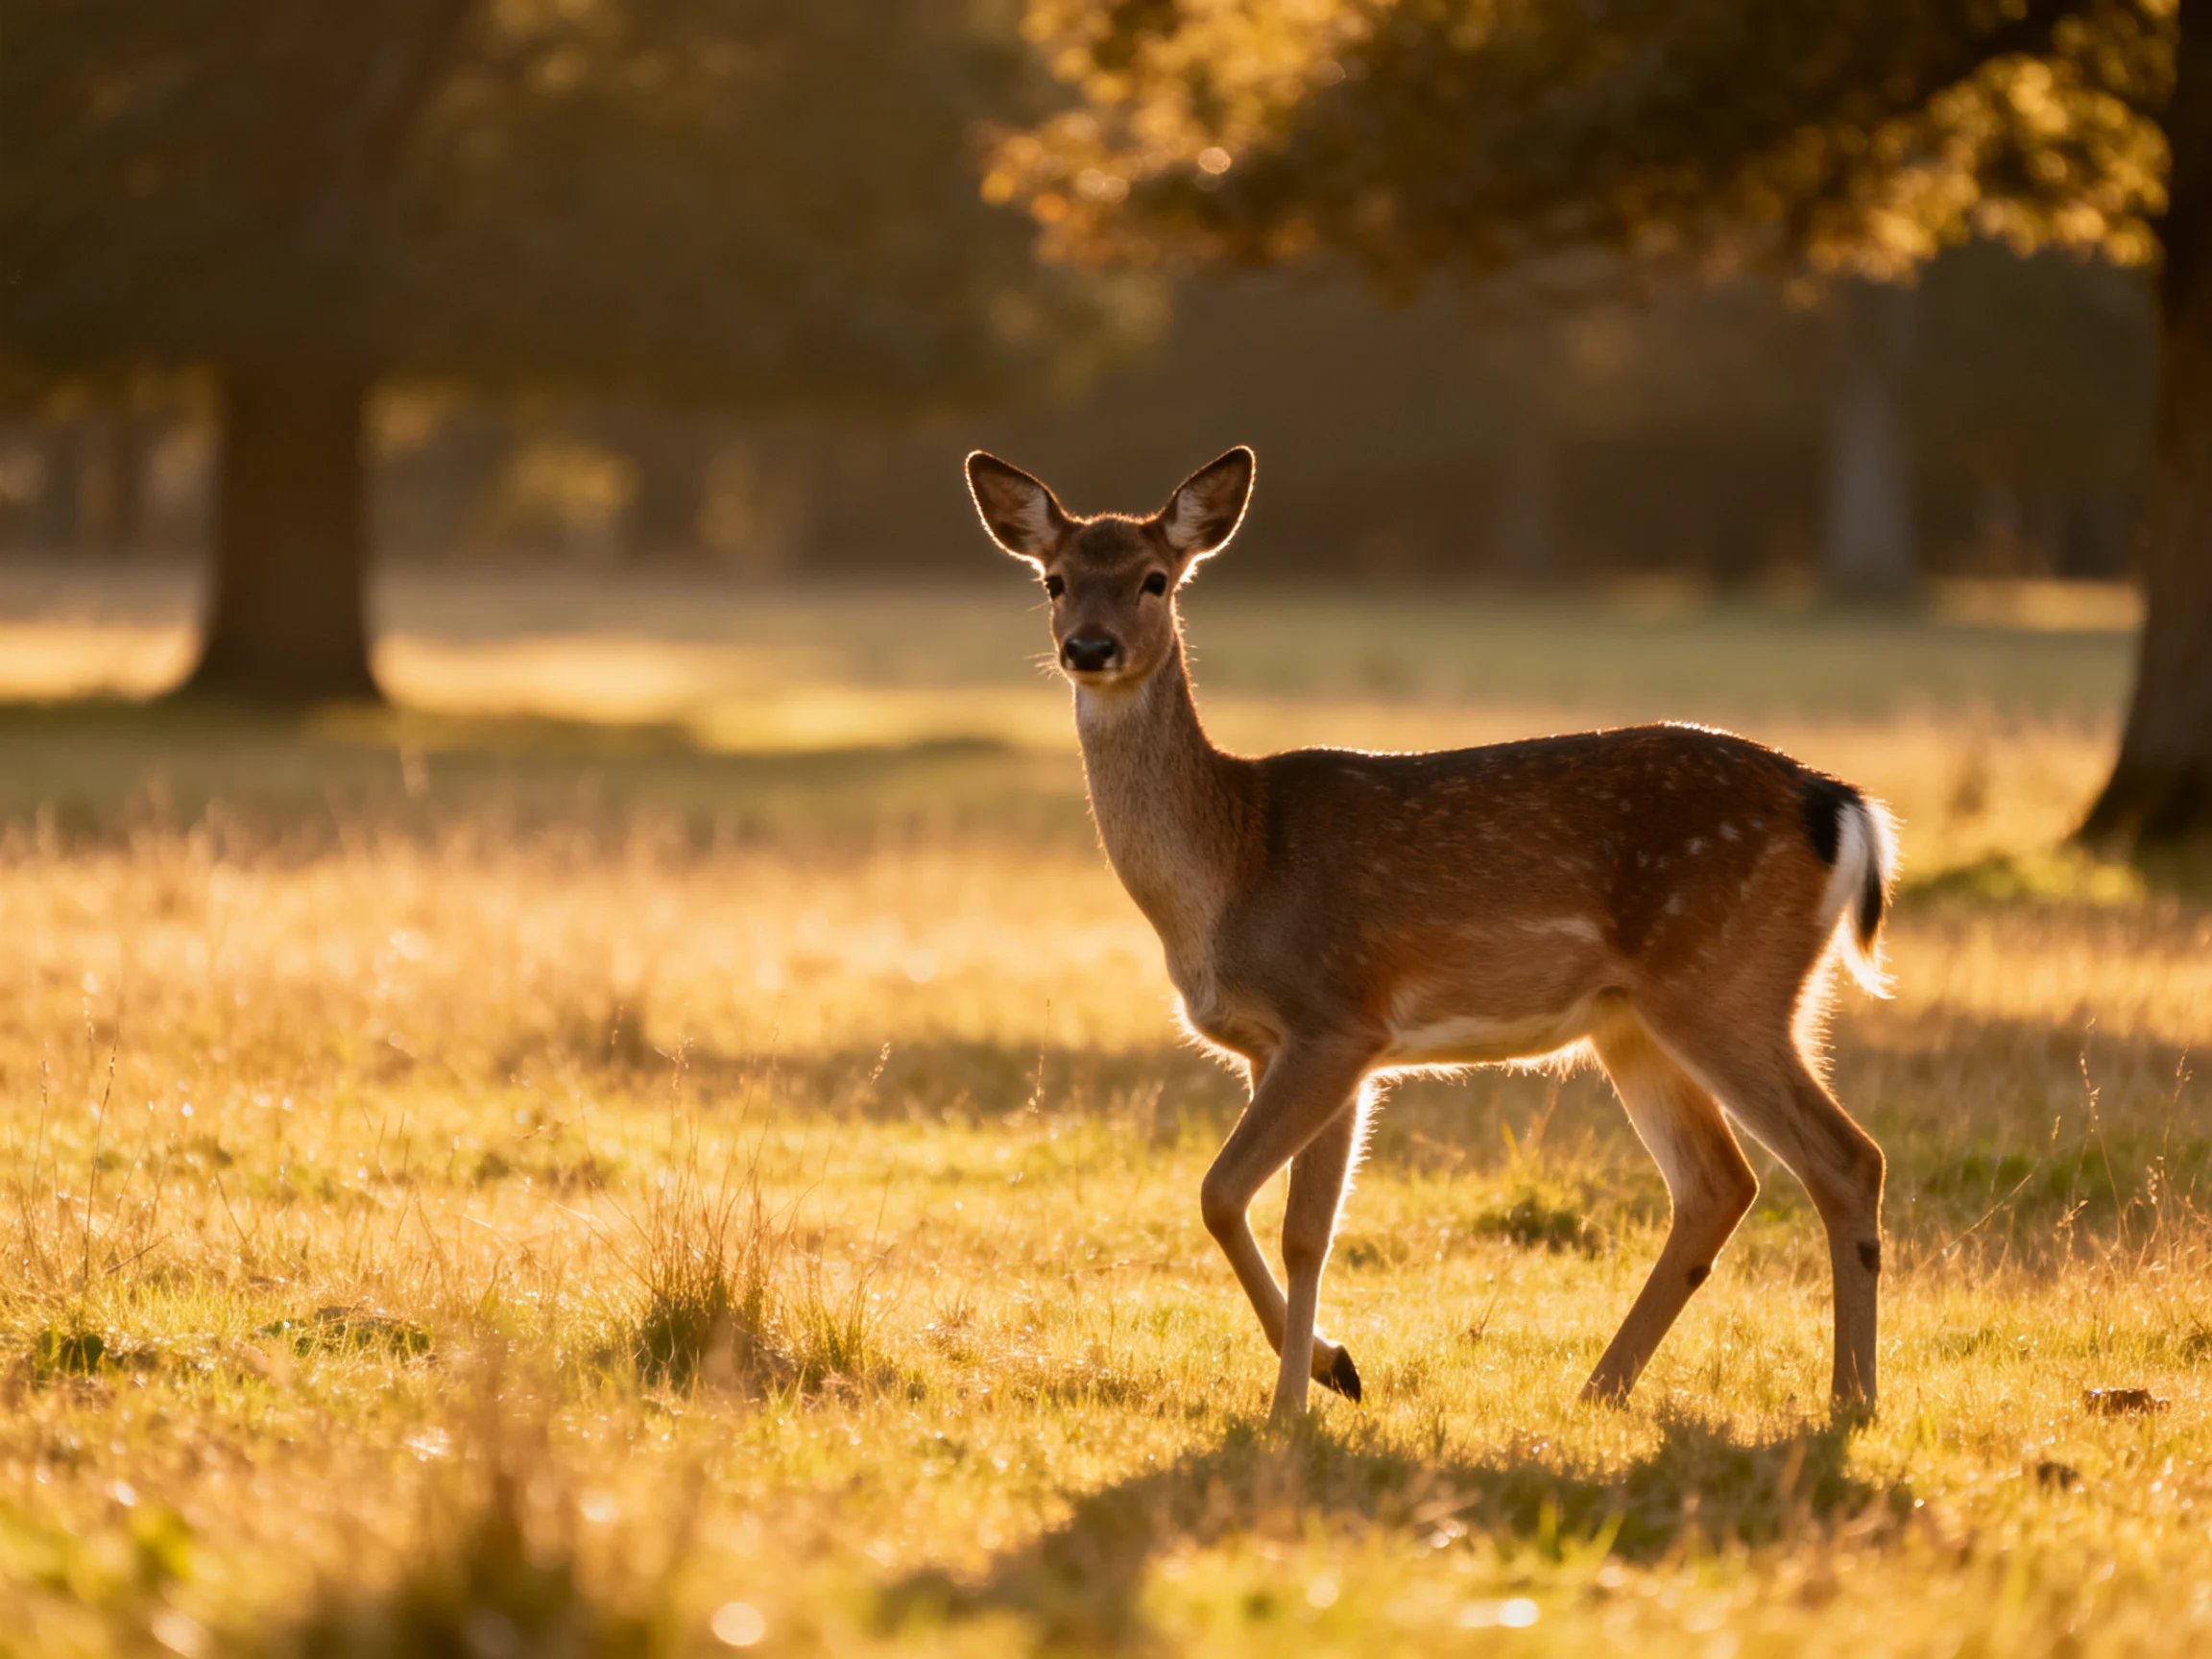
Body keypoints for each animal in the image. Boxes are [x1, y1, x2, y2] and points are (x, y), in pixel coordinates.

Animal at [965, 445, 1899, 1422]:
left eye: (1155, 579)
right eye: (1055, 580)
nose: (1089, 647)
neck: (1234, 868)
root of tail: (1841, 805)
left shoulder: (1336, 1018)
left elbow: (1241, 1201)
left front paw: (1298, 1399)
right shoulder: (1287, 1047)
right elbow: (1294, 1223)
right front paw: (1331, 1371)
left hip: (1726, 982)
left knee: (1846, 1159)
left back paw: (1851, 1400)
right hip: (1635, 1019)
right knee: (1719, 1183)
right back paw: (1598, 1391)